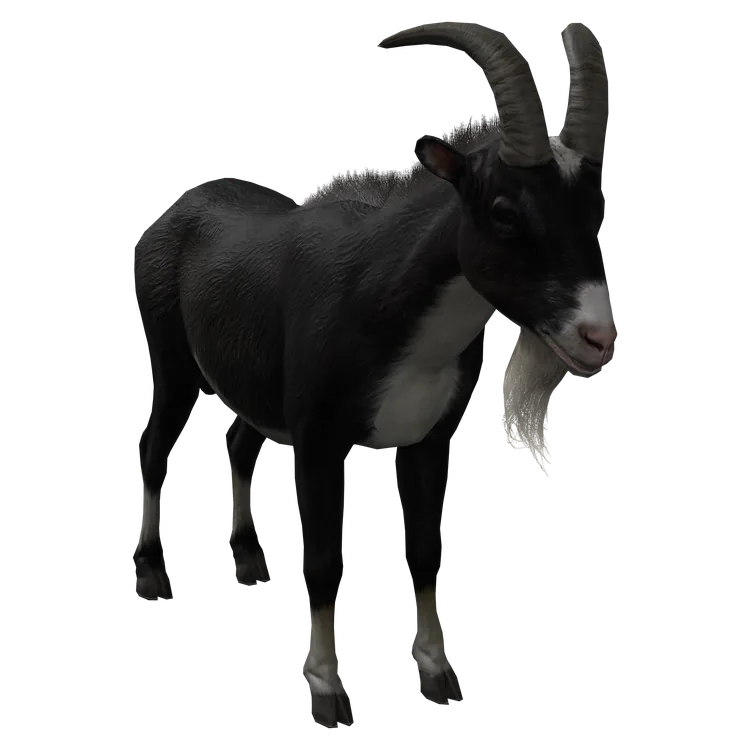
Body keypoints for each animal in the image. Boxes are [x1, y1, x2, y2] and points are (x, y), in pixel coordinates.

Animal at [132, 19, 616, 727]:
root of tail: (172, 209)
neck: (378, 294)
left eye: (594, 210)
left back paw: (248, 561)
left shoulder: (427, 442)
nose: (597, 337)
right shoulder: (319, 442)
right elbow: (322, 562)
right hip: (172, 363)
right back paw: (150, 573)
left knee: (239, 445)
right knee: (154, 451)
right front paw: (326, 691)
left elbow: (424, 555)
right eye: (504, 210)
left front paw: (439, 674)